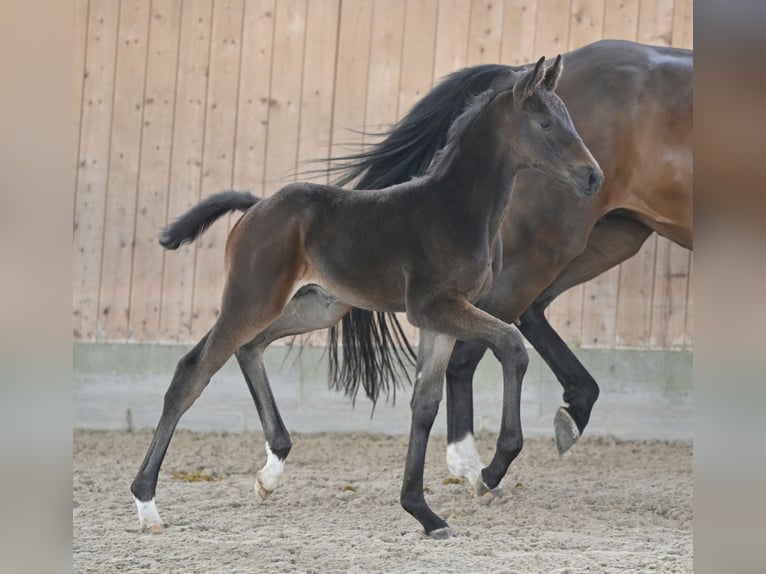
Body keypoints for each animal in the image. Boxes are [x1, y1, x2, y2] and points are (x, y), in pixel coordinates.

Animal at [130, 56, 603, 538]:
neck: (457, 209)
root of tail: (256, 206)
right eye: (545, 123)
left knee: (249, 348)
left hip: (314, 306)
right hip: (252, 300)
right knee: (194, 370)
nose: (593, 177)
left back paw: (270, 472)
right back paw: (147, 503)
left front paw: (422, 511)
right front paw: (490, 471)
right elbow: (512, 345)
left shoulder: (439, 318)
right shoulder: (434, 307)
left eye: (568, 117)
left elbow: (424, 403)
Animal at [322, 39, 693, 482]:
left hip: (609, 239)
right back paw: (476, 462)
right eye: (546, 125)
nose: (593, 176)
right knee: (475, 349)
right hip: (552, 242)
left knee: (522, 318)